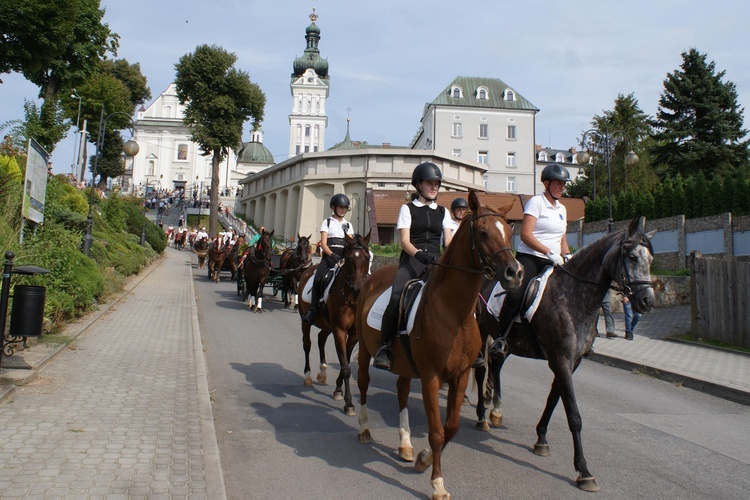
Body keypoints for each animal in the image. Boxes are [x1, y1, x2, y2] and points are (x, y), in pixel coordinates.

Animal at [298, 232, 372, 416]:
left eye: (367, 258)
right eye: (349, 259)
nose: (358, 288)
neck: (352, 299)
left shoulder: (353, 334)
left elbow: (345, 361)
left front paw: (338, 390)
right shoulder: (339, 330)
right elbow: (345, 367)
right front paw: (349, 403)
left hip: (326, 325)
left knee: (321, 339)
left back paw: (323, 371)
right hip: (305, 320)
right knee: (307, 344)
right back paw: (308, 376)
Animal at [356, 189, 524, 498]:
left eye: (509, 232)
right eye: (483, 232)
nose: (515, 273)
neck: (452, 311)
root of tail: (373, 278)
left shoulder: (460, 375)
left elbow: (451, 428)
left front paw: (423, 459)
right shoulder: (431, 377)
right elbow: (436, 431)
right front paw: (437, 483)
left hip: (405, 363)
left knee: (401, 391)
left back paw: (406, 445)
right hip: (363, 348)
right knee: (362, 382)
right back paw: (363, 429)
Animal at [476, 218, 656, 492]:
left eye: (651, 259)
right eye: (633, 257)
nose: (647, 301)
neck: (572, 297)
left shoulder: (571, 362)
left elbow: (553, 399)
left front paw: (541, 439)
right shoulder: (561, 360)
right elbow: (574, 415)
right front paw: (584, 471)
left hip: (505, 342)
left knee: (495, 367)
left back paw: (495, 410)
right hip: (479, 334)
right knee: (480, 371)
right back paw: (482, 416)